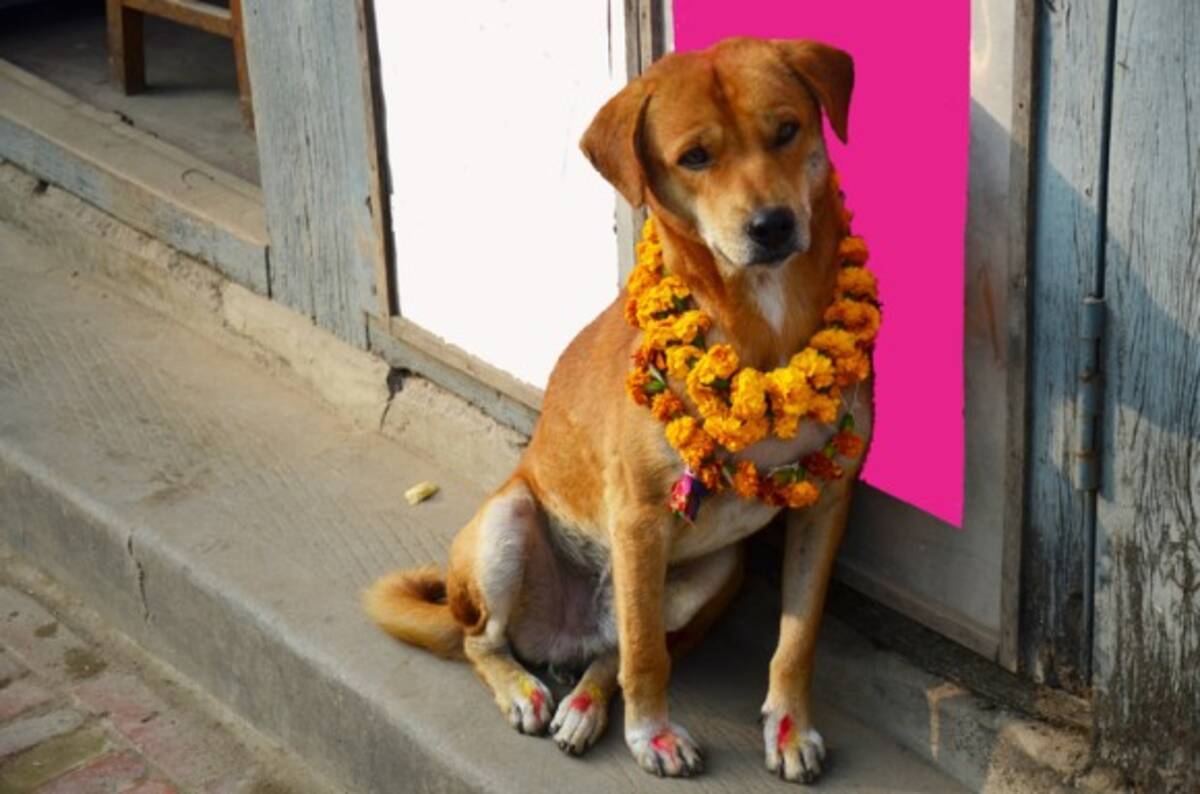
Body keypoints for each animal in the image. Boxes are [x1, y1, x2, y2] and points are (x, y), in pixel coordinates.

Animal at [360, 35, 868, 782]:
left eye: (787, 130)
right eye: (695, 157)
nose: (773, 226)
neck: (763, 321)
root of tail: (560, 633)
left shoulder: (826, 501)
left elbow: (796, 640)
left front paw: (789, 728)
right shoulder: (640, 518)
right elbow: (648, 657)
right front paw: (650, 735)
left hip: (712, 571)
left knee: (611, 649)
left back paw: (585, 703)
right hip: (508, 525)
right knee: (496, 641)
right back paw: (525, 690)